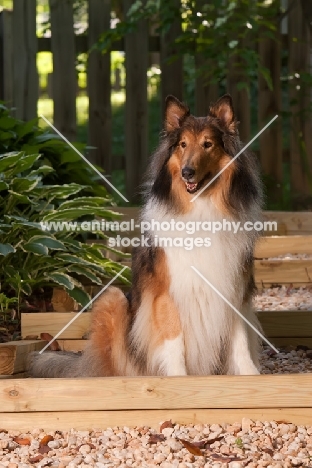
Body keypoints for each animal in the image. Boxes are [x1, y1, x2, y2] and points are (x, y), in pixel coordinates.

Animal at [29, 94, 264, 376]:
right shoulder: (166, 290)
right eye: (183, 144)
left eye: (208, 144)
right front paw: (178, 377)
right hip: (114, 299)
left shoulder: (235, 288)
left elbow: (240, 340)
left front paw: (250, 375)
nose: (187, 172)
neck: (201, 206)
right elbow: (173, 338)